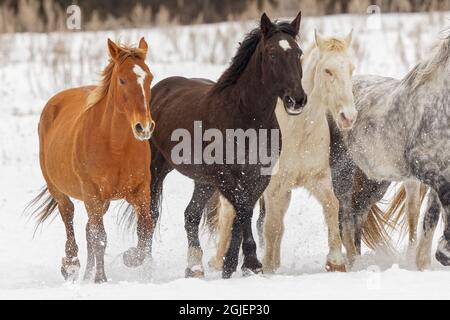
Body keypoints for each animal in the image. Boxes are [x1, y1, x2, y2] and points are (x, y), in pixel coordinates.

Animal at [28, 38, 155, 282]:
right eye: (122, 80)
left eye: (150, 78)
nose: (143, 127)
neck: (115, 146)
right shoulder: (92, 194)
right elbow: (100, 238)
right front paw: (101, 279)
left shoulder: (140, 191)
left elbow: (146, 229)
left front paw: (132, 258)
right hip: (60, 190)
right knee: (69, 217)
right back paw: (71, 265)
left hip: (102, 202)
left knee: (88, 230)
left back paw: (86, 274)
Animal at [149, 13, 308, 278]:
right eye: (272, 54)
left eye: (299, 52)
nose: (297, 99)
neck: (245, 116)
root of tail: (159, 90)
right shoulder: (225, 175)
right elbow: (242, 209)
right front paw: (250, 262)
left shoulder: (258, 175)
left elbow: (244, 212)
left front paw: (233, 264)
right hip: (156, 169)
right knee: (150, 213)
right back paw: (140, 260)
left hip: (202, 181)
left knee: (191, 215)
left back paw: (194, 267)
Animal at [208, 31, 358, 272]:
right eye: (328, 70)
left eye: (351, 69)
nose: (348, 117)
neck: (299, 129)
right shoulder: (273, 187)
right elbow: (271, 226)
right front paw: (267, 269)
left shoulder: (318, 179)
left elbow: (331, 207)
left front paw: (335, 262)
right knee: (229, 215)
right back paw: (218, 261)